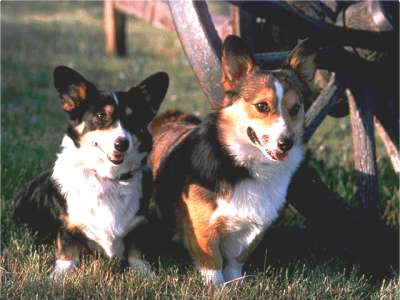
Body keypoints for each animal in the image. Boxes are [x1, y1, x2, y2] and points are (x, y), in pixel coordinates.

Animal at [14, 66, 169, 278]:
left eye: (132, 117)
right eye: (101, 116)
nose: (122, 144)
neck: (108, 177)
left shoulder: (138, 226)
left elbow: (137, 255)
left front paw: (147, 274)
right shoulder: (67, 227)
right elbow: (67, 253)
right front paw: (57, 276)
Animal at [148, 35, 318, 286]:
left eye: (295, 108)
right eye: (262, 106)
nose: (286, 143)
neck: (246, 166)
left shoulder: (253, 231)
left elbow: (235, 263)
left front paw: (235, 285)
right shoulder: (203, 229)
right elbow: (213, 264)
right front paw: (216, 288)